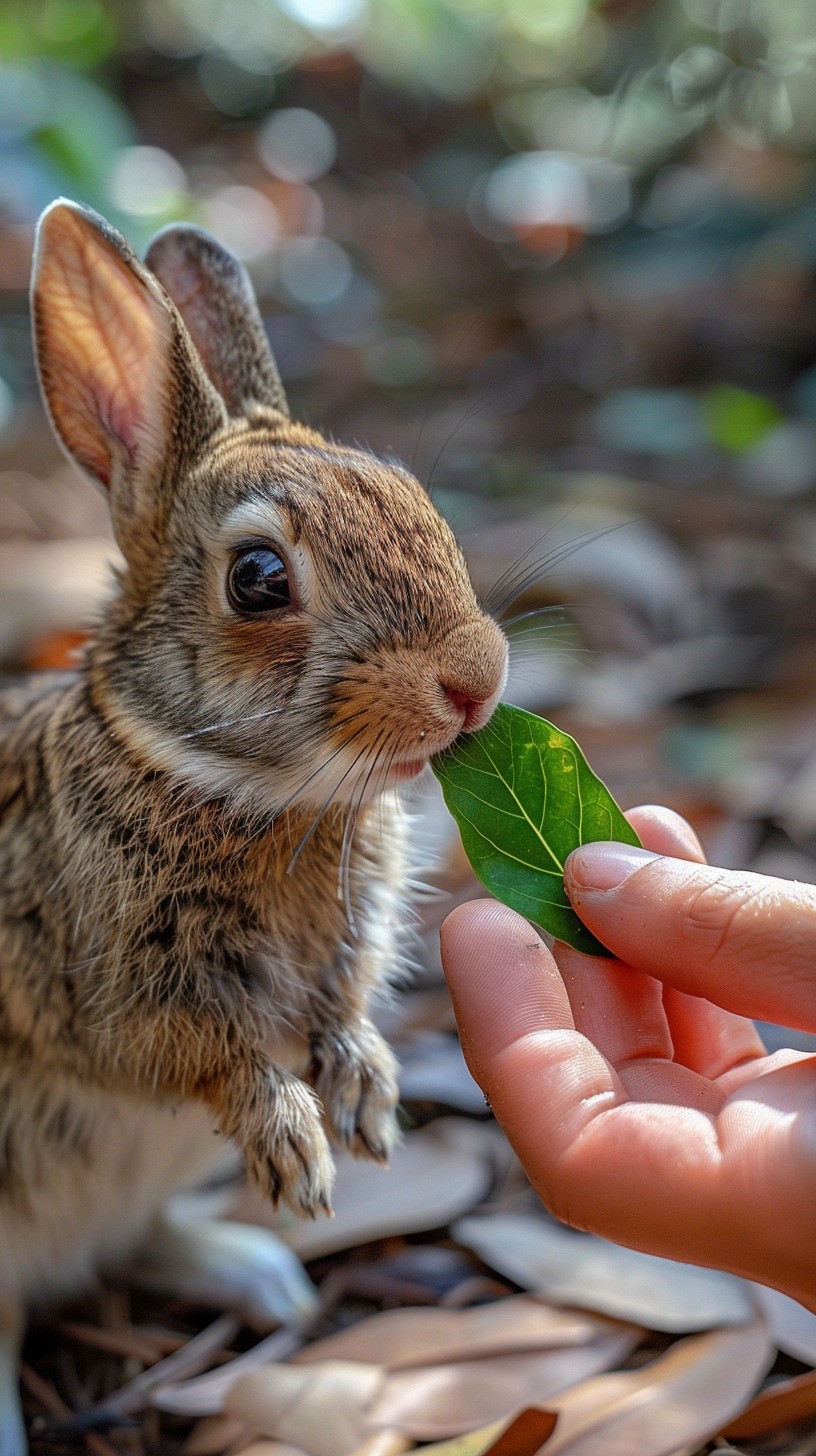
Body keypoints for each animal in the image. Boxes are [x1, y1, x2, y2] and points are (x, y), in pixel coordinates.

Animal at [0, 198, 508, 1451]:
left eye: (410, 497)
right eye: (261, 578)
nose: (477, 681)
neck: (238, 785)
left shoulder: (344, 949)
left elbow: (340, 1013)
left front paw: (366, 1100)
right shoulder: (107, 988)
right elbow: (205, 1055)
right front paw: (296, 1141)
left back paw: (260, 1275)